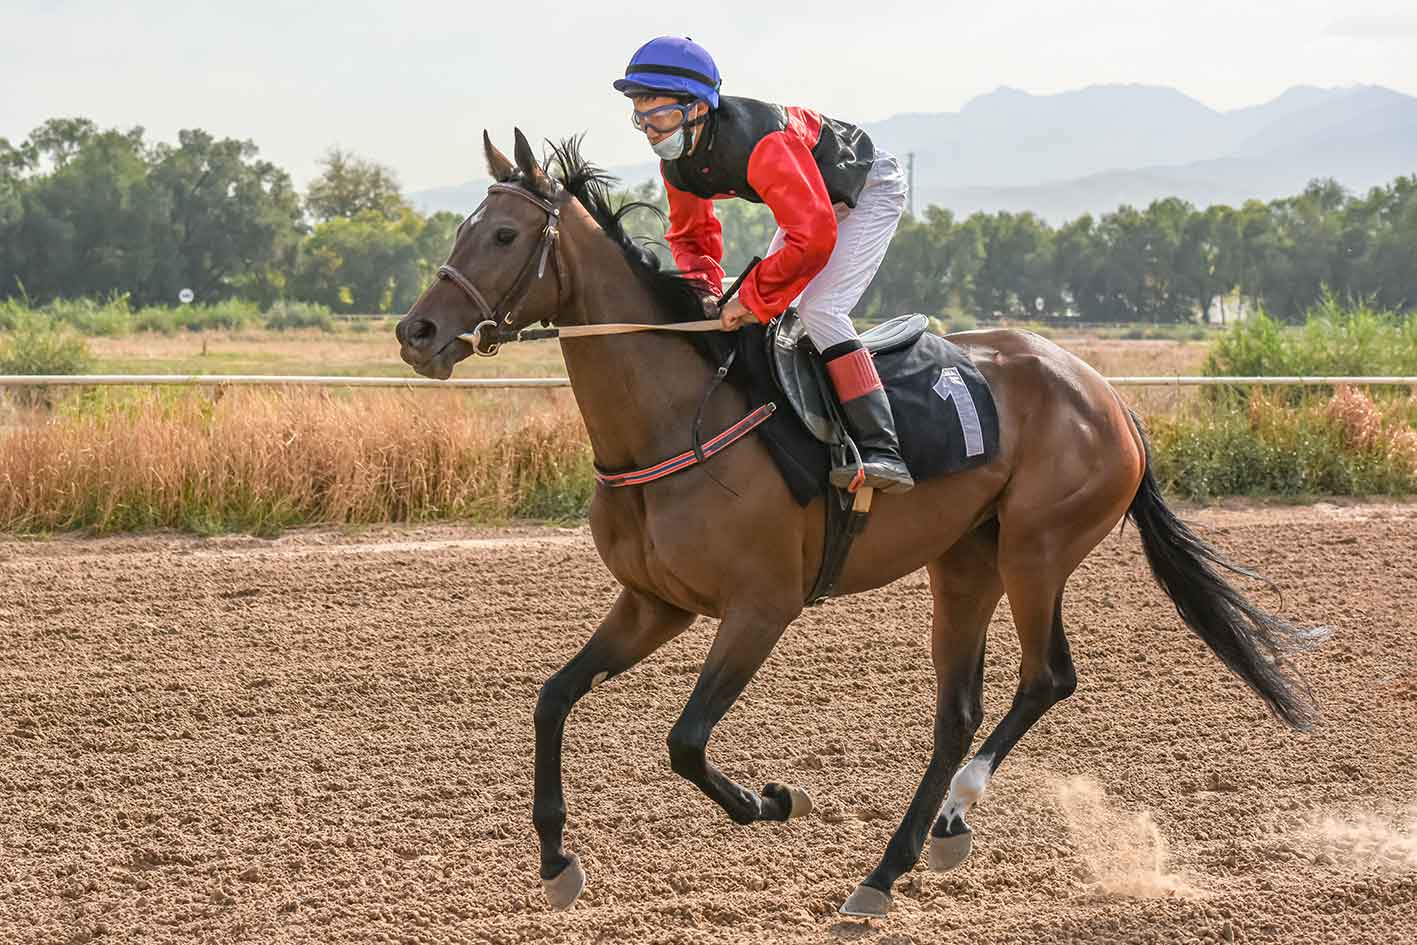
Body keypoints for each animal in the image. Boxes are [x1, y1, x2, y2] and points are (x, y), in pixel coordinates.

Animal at [394, 130, 1318, 918]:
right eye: (465, 226)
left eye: (504, 234)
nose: (417, 332)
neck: (671, 420)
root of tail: (1105, 394)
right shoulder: (655, 602)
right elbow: (553, 697)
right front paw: (556, 860)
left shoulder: (760, 606)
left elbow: (685, 740)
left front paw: (773, 798)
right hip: (964, 562)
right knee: (957, 711)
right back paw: (895, 862)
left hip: (1037, 548)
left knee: (1045, 678)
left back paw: (945, 818)